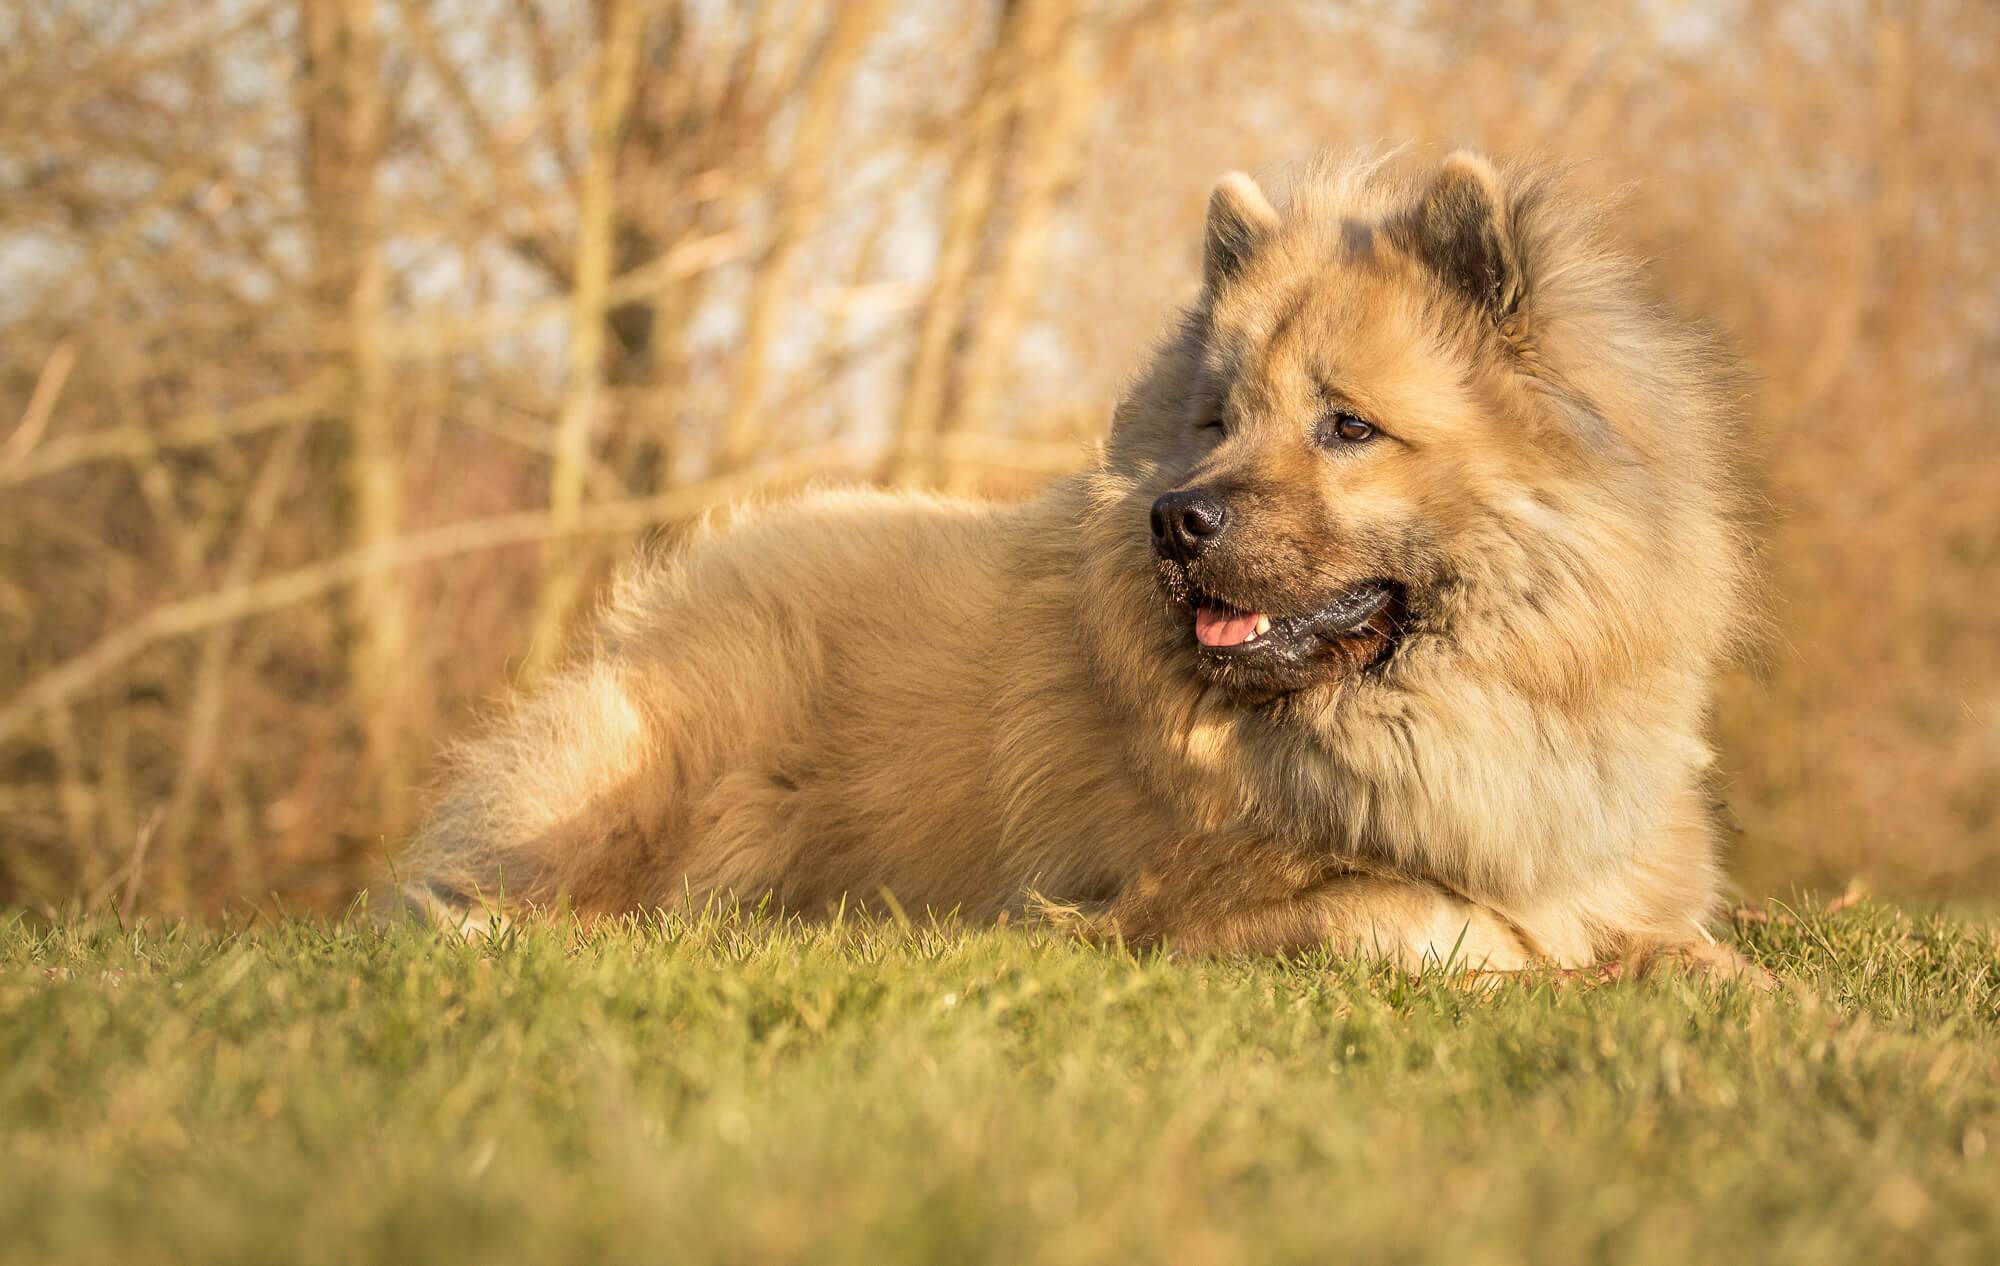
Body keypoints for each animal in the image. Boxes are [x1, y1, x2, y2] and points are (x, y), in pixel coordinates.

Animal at [406, 153, 1752, 972]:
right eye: (1216, 421)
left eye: (1347, 429)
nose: (1177, 521)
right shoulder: (1175, 908)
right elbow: (1413, 916)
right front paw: (1531, 959)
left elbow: (1679, 943)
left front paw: (1702, 975)